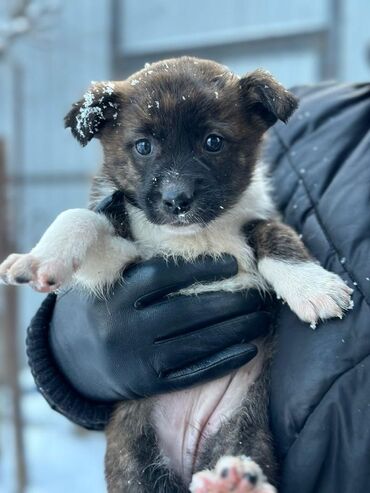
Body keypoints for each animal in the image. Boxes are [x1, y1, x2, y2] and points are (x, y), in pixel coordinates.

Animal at [0, 55, 352, 490]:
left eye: (213, 142)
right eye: (143, 146)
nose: (177, 200)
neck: (194, 236)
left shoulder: (255, 221)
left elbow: (275, 232)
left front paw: (313, 286)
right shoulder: (121, 264)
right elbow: (81, 217)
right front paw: (36, 259)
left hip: (244, 431)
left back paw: (234, 482)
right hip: (133, 458)